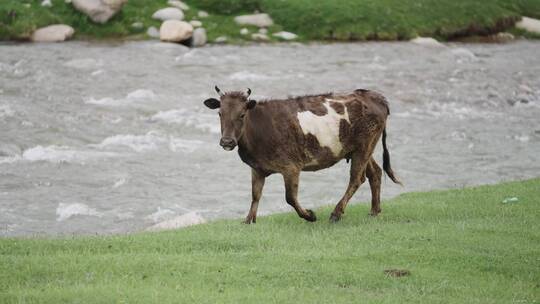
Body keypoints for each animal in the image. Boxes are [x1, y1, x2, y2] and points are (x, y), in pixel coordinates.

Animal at [204, 85, 400, 223]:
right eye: (220, 113)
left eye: (242, 114)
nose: (227, 142)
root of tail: (376, 96)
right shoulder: (257, 168)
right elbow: (255, 194)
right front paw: (248, 220)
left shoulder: (291, 166)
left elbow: (290, 197)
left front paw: (309, 215)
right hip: (360, 148)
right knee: (375, 173)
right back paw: (374, 211)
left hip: (364, 145)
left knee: (357, 178)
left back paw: (336, 213)